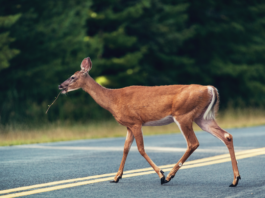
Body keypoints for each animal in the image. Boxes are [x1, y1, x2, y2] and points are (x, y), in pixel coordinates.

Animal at [58, 57, 240, 187]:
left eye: (72, 76)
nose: (60, 86)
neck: (112, 99)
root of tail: (210, 88)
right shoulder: (128, 125)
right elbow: (125, 149)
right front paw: (116, 177)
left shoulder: (136, 122)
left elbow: (140, 149)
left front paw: (161, 174)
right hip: (202, 117)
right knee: (227, 136)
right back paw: (235, 179)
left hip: (183, 114)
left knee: (193, 143)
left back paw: (170, 176)